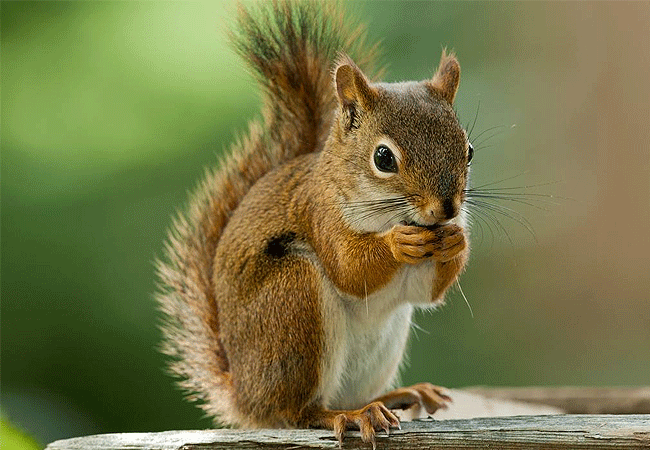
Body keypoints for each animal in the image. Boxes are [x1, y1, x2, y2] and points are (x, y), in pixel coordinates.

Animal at [156, 0, 471, 447]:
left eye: (469, 150)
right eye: (384, 158)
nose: (446, 209)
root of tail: (246, 398)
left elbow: (428, 291)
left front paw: (456, 241)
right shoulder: (319, 213)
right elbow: (350, 268)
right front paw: (397, 244)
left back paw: (396, 397)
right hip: (293, 301)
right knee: (299, 412)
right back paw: (349, 415)